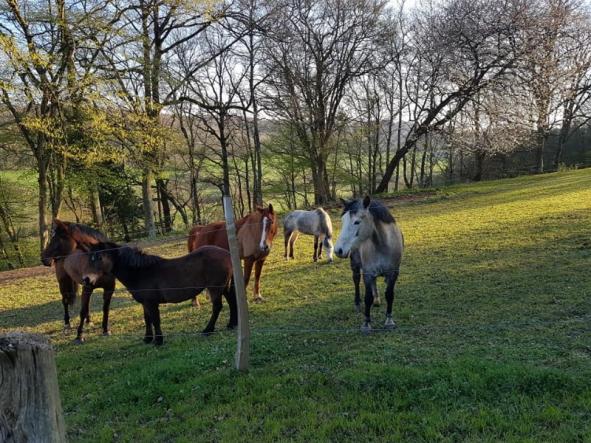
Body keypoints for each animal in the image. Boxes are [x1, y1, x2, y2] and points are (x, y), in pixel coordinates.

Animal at [83, 241, 236, 346]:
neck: (140, 272)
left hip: (215, 288)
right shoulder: (145, 303)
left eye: (99, 257)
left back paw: (207, 330)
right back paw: (231, 324)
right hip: (224, 287)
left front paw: (158, 340)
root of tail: (227, 254)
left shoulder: (151, 302)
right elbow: (147, 319)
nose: (86, 279)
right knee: (232, 302)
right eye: (90, 258)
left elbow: (155, 319)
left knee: (217, 307)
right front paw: (148, 338)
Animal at [336, 198, 404, 332]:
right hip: (355, 264)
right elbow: (367, 298)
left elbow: (389, 295)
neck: (383, 245)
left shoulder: (393, 273)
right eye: (342, 221)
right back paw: (357, 303)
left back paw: (377, 299)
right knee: (356, 280)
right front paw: (366, 323)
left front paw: (389, 321)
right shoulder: (367, 273)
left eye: (357, 222)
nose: (338, 250)